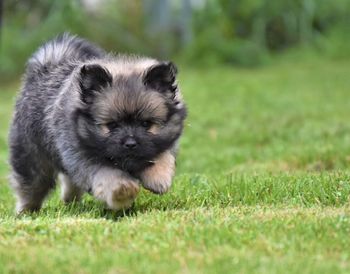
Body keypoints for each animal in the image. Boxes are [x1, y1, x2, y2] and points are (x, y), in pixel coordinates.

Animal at [8, 34, 186, 213]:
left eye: (146, 124)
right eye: (112, 125)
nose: (130, 143)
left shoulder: (163, 143)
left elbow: (162, 156)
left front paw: (159, 176)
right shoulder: (84, 158)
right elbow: (108, 174)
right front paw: (123, 190)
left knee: (70, 182)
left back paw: (70, 201)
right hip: (32, 159)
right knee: (31, 187)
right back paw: (26, 211)